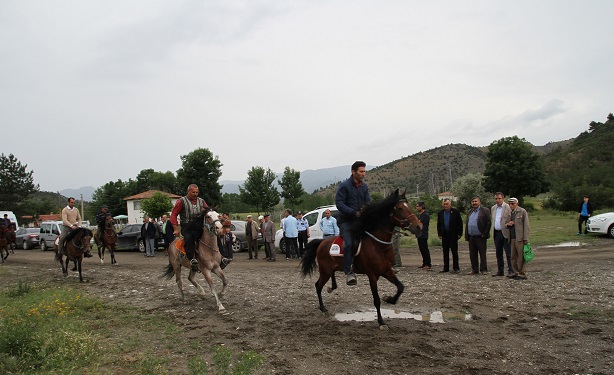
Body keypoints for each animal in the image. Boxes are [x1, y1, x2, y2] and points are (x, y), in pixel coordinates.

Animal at [302, 191, 424, 328]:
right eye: (399, 208)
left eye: (409, 206)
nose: (419, 226)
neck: (378, 245)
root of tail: (322, 242)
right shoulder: (372, 275)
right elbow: (376, 300)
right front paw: (381, 321)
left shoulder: (387, 271)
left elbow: (400, 287)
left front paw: (389, 299)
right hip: (325, 271)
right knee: (318, 286)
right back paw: (323, 308)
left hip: (330, 269)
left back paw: (331, 288)